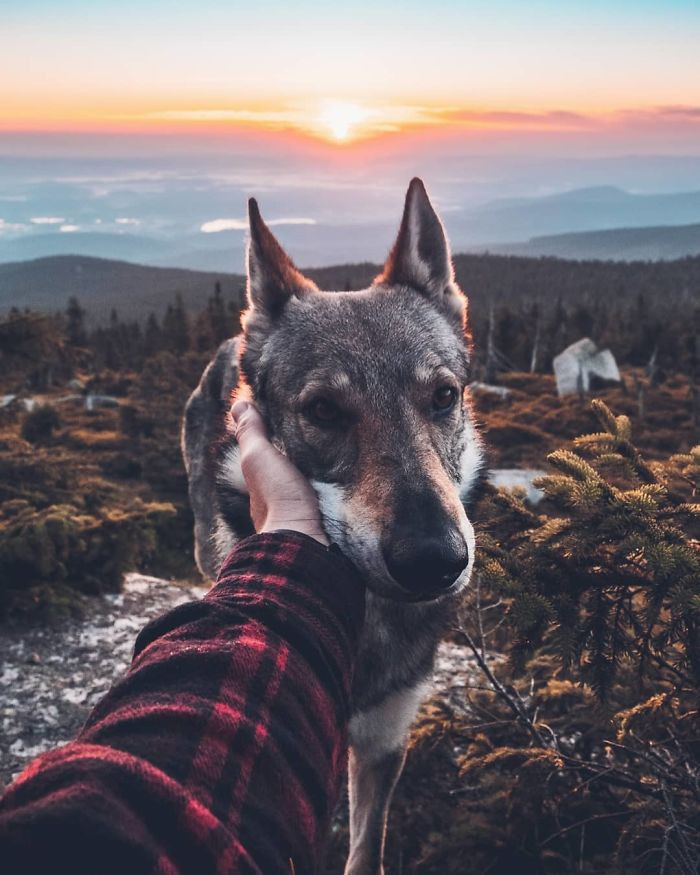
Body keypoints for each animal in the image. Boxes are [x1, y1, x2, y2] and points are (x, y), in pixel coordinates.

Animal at [183, 180, 484, 875]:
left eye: (443, 397)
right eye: (323, 410)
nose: (435, 558)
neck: (363, 623)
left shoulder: (382, 740)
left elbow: (366, 850)